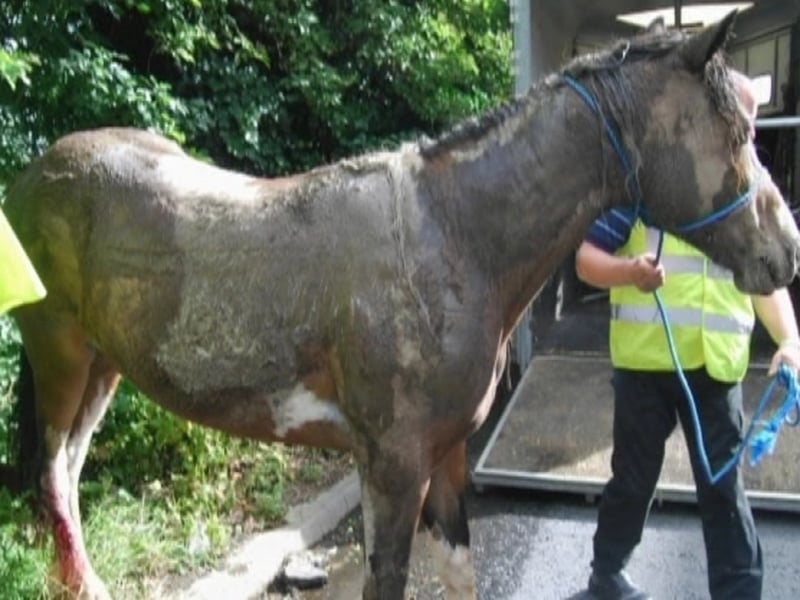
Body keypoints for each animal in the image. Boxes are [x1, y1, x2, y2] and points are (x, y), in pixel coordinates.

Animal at [5, 11, 800, 600]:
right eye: (734, 133)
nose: (786, 250)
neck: (455, 235)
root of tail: (37, 172)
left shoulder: (446, 458)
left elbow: (461, 570)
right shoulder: (391, 468)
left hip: (105, 365)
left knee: (67, 472)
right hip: (60, 354)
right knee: (53, 475)